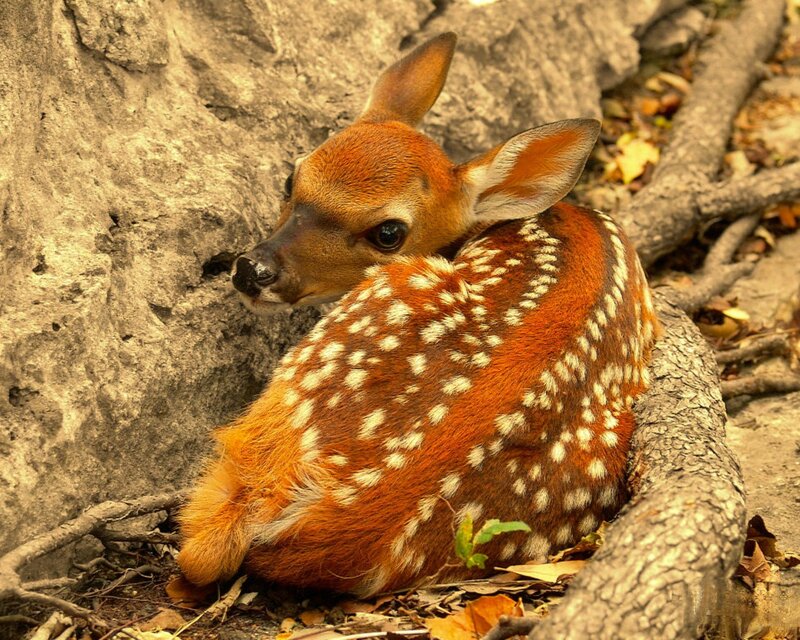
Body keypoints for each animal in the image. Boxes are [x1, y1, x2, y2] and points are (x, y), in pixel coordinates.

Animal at [174, 32, 659, 598]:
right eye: (291, 177)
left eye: (389, 232)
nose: (253, 269)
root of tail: (335, 508)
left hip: (370, 311)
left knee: (201, 549)